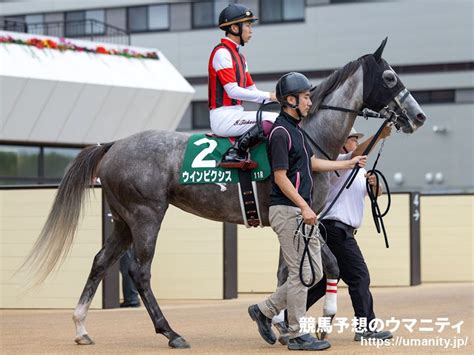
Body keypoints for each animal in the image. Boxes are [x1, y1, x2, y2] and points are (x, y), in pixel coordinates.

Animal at [23, 38, 426, 348]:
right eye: (389, 76)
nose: (418, 116)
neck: (308, 137)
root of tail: (114, 144)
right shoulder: (304, 217)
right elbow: (328, 266)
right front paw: (320, 321)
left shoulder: (291, 223)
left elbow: (288, 273)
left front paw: (279, 323)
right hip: (145, 215)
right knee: (139, 271)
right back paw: (171, 333)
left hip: (123, 220)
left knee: (100, 261)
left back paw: (81, 327)